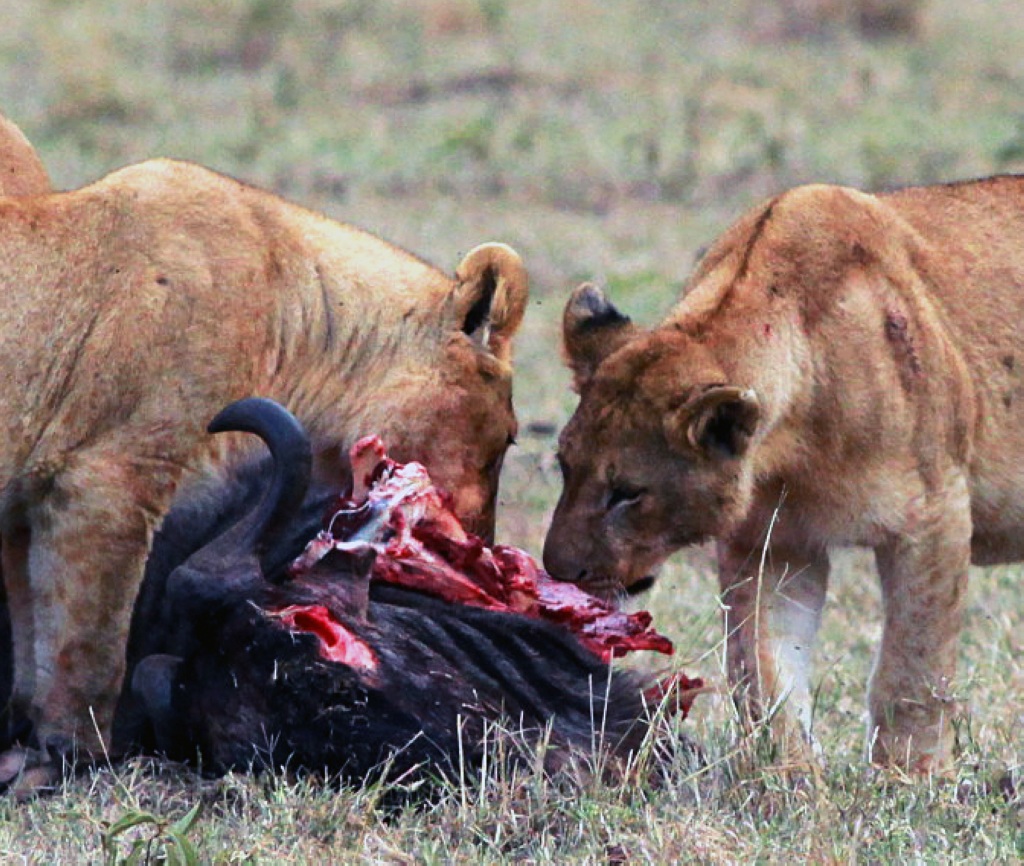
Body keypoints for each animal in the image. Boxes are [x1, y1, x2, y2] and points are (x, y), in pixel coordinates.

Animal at [0, 155, 528, 794]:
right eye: (507, 439)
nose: (483, 545)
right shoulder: (108, 478)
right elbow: (89, 643)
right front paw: (74, 756)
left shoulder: (26, 508)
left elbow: (36, 632)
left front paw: (27, 749)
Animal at [548, 176, 1024, 773]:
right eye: (564, 466)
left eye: (628, 493)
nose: (557, 569)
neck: (792, 450)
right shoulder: (770, 545)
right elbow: (763, 672)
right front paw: (791, 777)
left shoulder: (935, 516)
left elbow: (911, 672)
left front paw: (907, 778)